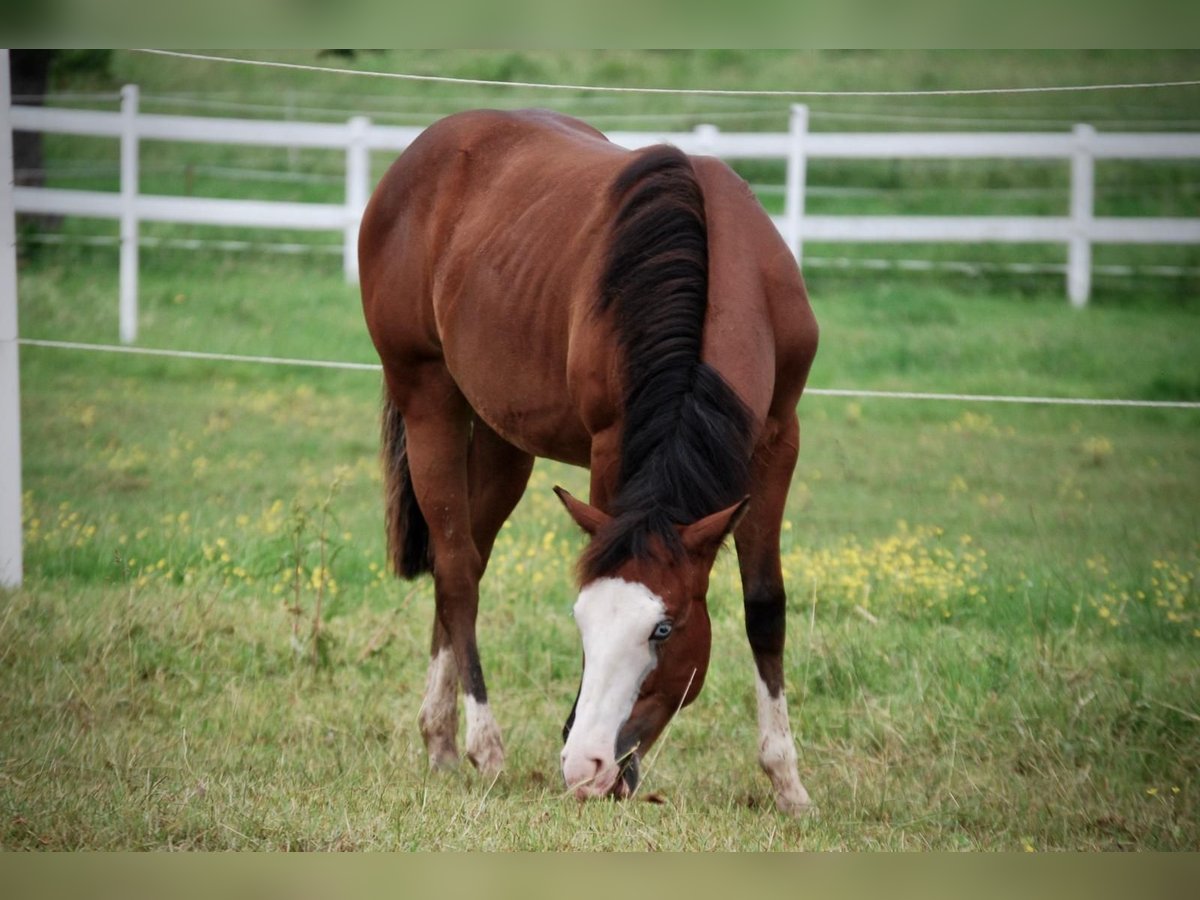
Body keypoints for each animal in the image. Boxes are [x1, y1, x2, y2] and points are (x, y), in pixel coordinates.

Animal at [357, 107, 816, 816]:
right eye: (582, 623)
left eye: (663, 630)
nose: (586, 765)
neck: (722, 271)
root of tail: (421, 154)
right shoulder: (611, 444)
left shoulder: (777, 439)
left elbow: (764, 603)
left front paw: (786, 779)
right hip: (427, 397)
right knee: (457, 568)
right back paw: (480, 743)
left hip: (504, 437)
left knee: (465, 559)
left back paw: (439, 735)